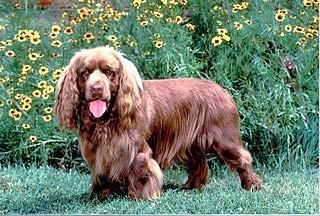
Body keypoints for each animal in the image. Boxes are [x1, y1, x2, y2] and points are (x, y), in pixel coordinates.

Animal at [54, 46, 260, 200]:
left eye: (109, 72)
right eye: (85, 73)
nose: (96, 89)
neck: (106, 120)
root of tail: (222, 89)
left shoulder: (136, 149)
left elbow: (141, 170)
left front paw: (139, 195)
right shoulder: (98, 152)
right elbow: (101, 174)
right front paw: (101, 194)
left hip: (224, 138)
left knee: (243, 158)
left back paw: (251, 185)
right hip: (190, 144)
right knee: (199, 163)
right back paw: (190, 186)